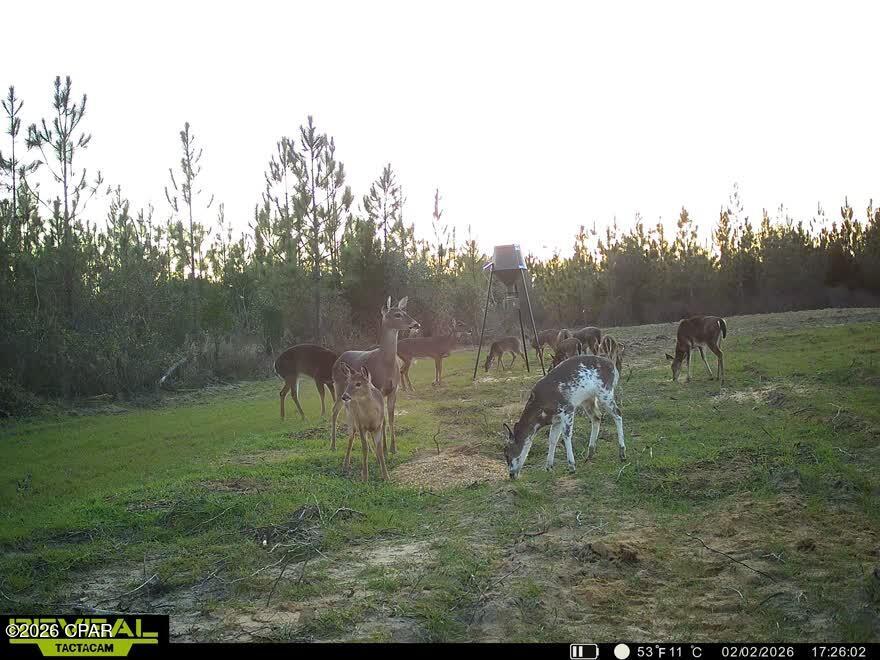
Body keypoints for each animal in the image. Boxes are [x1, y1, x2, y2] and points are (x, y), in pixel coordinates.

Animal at [330, 296, 419, 455]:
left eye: (405, 311)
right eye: (397, 314)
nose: (416, 324)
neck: (385, 363)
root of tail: (338, 358)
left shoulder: (394, 390)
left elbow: (391, 418)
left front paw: (393, 448)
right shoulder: (379, 389)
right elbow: (382, 420)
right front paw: (383, 448)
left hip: (353, 396)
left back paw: (370, 449)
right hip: (339, 387)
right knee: (334, 411)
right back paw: (333, 445)